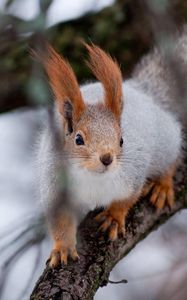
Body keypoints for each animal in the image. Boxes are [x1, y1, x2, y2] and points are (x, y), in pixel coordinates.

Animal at [35, 28, 187, 268]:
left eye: (122, 140)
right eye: (78, 139)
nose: (107, 158)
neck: (91, 177)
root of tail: (143, 92)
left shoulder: (133, 174)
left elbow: (126, 199)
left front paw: (114, 217)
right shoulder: (55, 186)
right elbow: (60, 221)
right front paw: (62, 247)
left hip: (165, 142)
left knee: (171, 158)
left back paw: (162, 186)